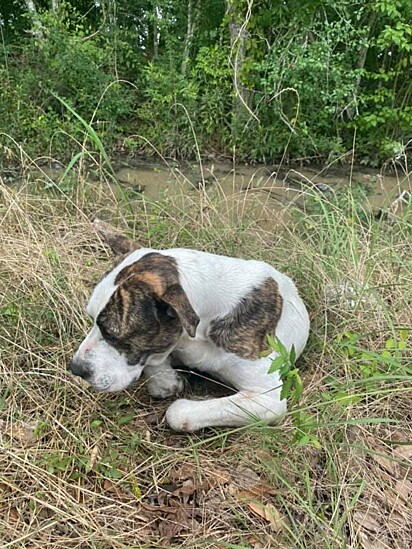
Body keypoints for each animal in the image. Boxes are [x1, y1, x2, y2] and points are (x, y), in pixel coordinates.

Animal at [71, 220, 308, 430]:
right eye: (91, 319)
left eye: (113, 335)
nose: (75, 368)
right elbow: (157, 366)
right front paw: (166, 378)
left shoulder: (268, 398)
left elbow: (178, 413)